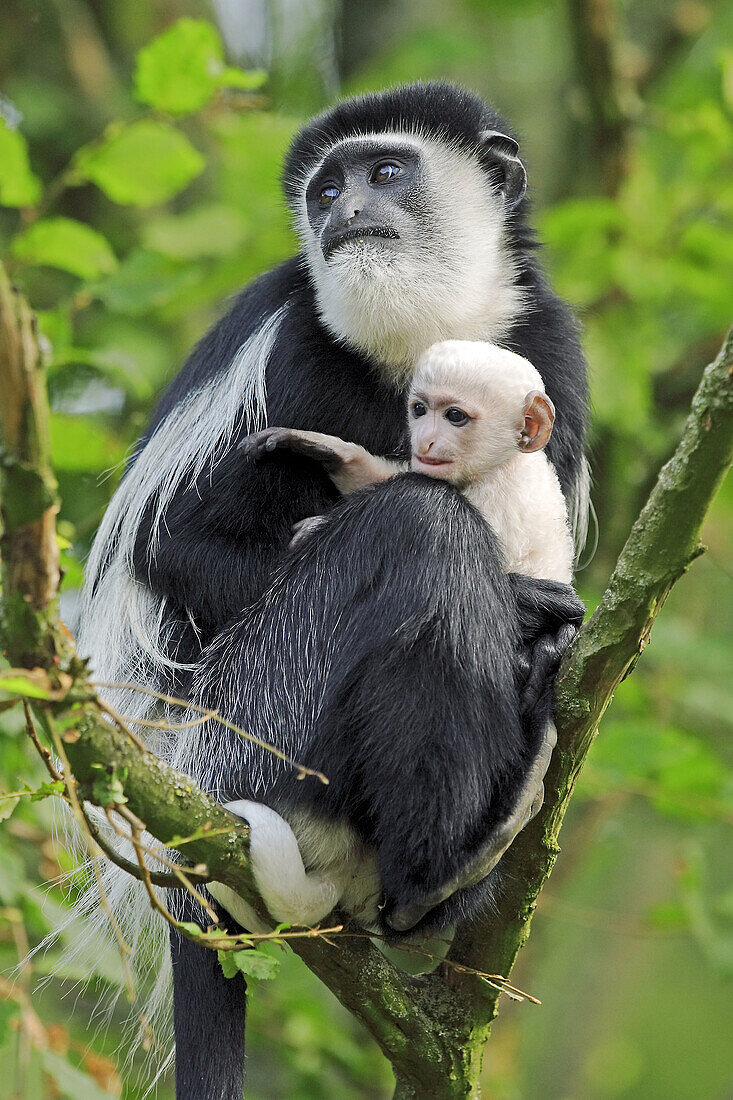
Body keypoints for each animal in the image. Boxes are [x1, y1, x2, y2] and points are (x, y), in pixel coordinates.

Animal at [242, 341, 572, 585]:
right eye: (419, 410)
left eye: (455, 416)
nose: (424, 439)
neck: (501, 463)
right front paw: (328, 449)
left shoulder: (497, 498)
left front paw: (315, 530)